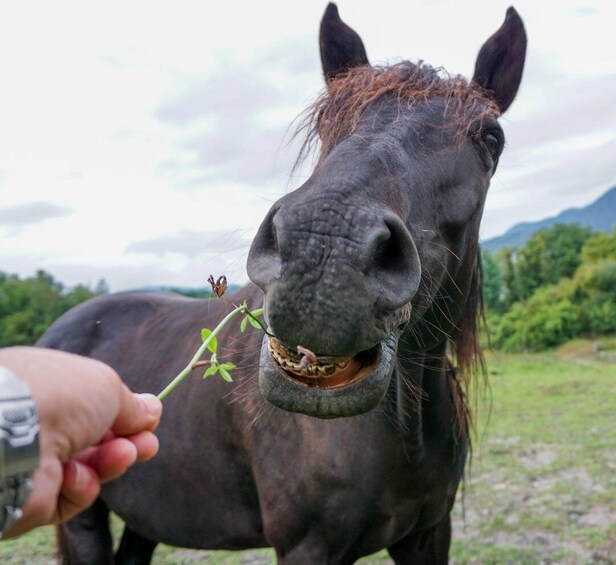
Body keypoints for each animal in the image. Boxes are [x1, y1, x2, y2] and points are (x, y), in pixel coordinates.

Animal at [41, 3, 528, 560]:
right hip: (82, 520)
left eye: (491, 138)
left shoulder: (428, 534)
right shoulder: (307, 546)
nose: (325, 246)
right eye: (325, 117)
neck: (405, 432)